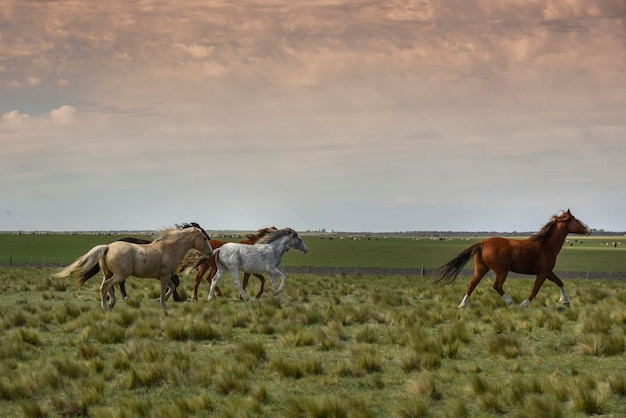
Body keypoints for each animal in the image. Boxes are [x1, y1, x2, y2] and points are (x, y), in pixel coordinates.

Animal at [52, 224, 212, 308]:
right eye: (204, 238)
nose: (210, 253)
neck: (169, 248)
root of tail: (107, 247)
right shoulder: (165, 276)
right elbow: (165, 290)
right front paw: (163, 304)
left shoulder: (163, 276)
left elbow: (171, 288)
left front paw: (163, 302)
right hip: (120, 275)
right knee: (107, 286)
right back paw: (106, 306)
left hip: (108, 273)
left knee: (106, 286)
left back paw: (111, 303)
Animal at [432, 211, 588, 308]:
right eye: (576, 220)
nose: (589, 229)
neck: (546, 245)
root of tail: (482, 243)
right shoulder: (542, 273)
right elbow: (535, 289)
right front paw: (524, 304)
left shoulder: (548, 272)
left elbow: (559, 282)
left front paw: (565, 301)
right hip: (501, 271)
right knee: (497, 286)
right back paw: (511, 302)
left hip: (481, 269)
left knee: (472, 285)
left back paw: (462, 305)